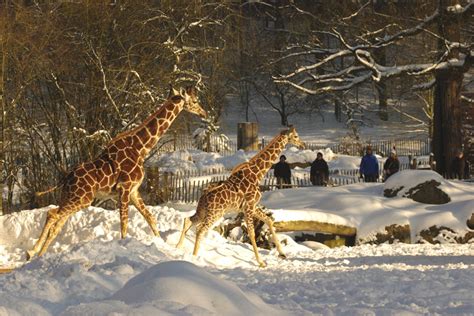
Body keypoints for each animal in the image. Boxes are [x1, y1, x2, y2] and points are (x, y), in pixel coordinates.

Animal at [26, 86, 206, 260]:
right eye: (194, 101)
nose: (203, 113)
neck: (141, 148)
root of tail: (65, 178)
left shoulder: (134, 191)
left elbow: (151, 218)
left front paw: (162, 244)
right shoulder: (124, 188)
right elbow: (124, 224)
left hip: (70, 197)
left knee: (56, 223)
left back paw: (36, 254)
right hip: (82, 199)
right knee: (52, 215)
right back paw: (32, 253)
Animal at [176, 126, 306, 266]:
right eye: (296, 136)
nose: (303, 144)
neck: (257, 174)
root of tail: (203, 197)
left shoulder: (252, 206)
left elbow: (269, 220)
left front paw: (282, 253)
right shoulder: (249, 206)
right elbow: (252, 233)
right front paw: (261, 262)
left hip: (203, 211)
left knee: (188, 220)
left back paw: (178, 247)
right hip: (215, 214)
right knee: (200, 229)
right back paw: (194, 258)